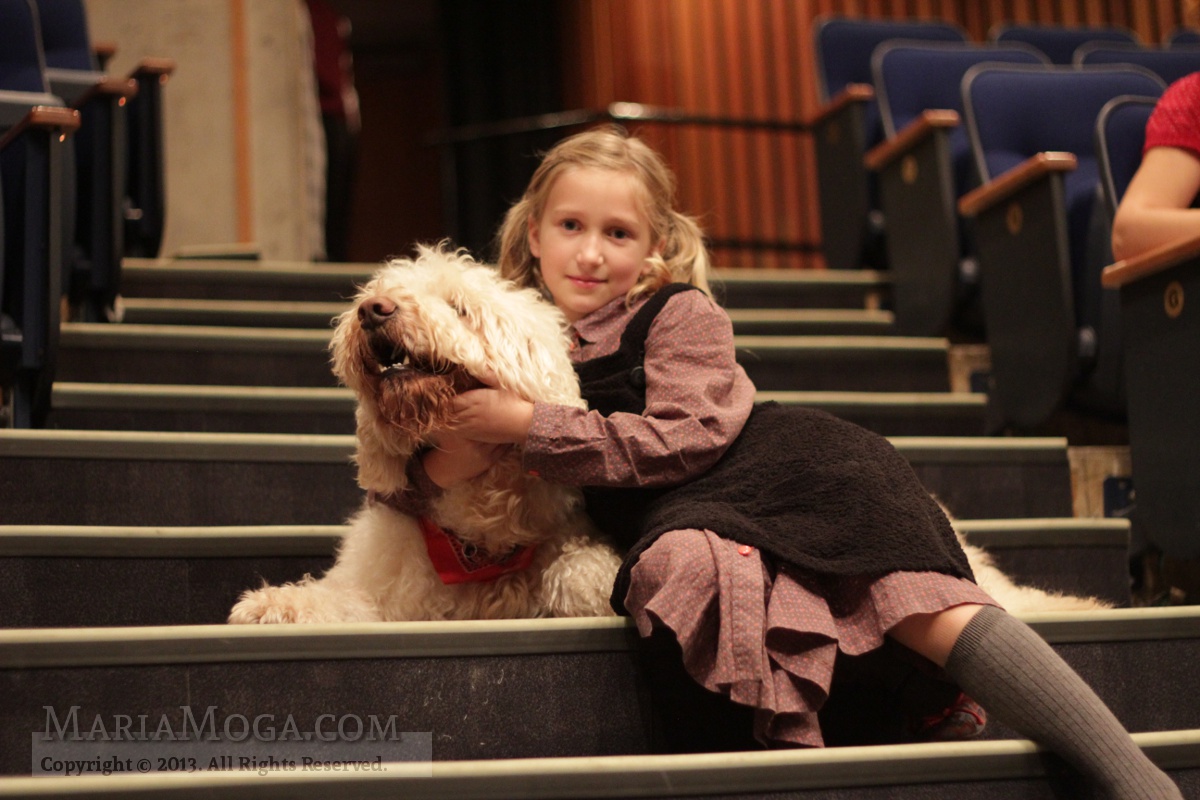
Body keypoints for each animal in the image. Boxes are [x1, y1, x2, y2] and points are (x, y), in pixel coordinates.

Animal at [226, 247, 619, 623]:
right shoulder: (380, 594)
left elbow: (584, 569)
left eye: (459, 308)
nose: (372, 310)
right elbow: (337, 601)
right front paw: (270, 605)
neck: (478, 542)